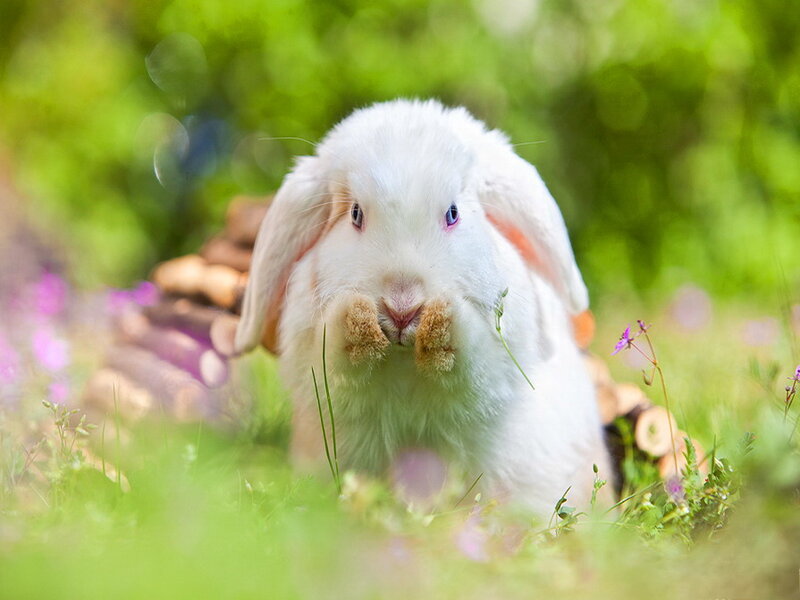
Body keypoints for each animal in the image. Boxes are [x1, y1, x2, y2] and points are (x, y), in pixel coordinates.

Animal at [234, 99, 613, 516]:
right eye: (355, 214)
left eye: (452, 213)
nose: (402, 307)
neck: (404, 361)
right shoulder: (321, 368)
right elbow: (338, 357)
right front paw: (357, 321)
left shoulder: (493, 371)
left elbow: (468, 365)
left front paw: (443, 323)